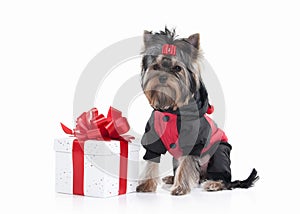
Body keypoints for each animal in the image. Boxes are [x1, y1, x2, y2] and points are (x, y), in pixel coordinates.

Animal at [135, 27, 258, 196]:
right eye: (156, 66)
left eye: (177, 68)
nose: (162, 77)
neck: (172, 110)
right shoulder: (153, 136)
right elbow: (151, 160)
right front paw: (146, 185)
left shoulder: (193, 141)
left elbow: (186, 164)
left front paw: (180, 188)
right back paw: (172, 178)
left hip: (219, 152)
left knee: (225, 179)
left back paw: (214, 183)